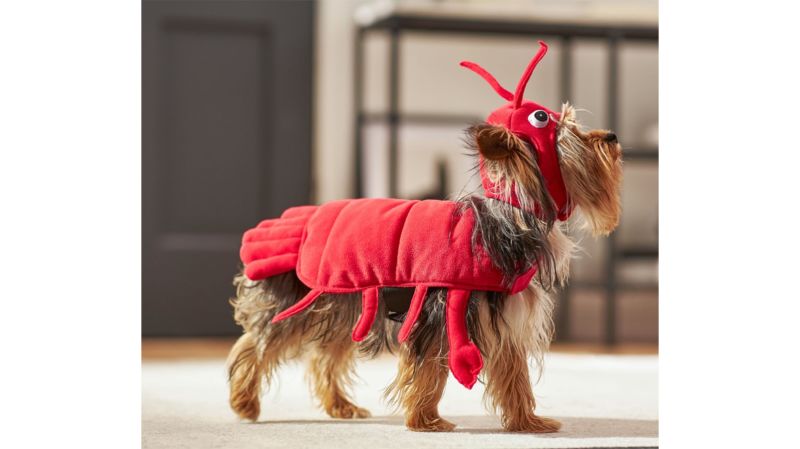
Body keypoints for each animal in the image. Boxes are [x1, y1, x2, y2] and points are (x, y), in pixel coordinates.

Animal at [225, 43, 624, 432]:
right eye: (571, 135)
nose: (612, 136)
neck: (511, 216)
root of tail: (289, 219)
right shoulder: (440, 310)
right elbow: (429, 370)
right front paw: (426, 421)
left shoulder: (505, 319)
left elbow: (515, 376)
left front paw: (528, 422)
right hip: (300, 296)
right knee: (258, 343)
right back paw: (244, 402)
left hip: (346, 302)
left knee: (326, 355)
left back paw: (341, 407)